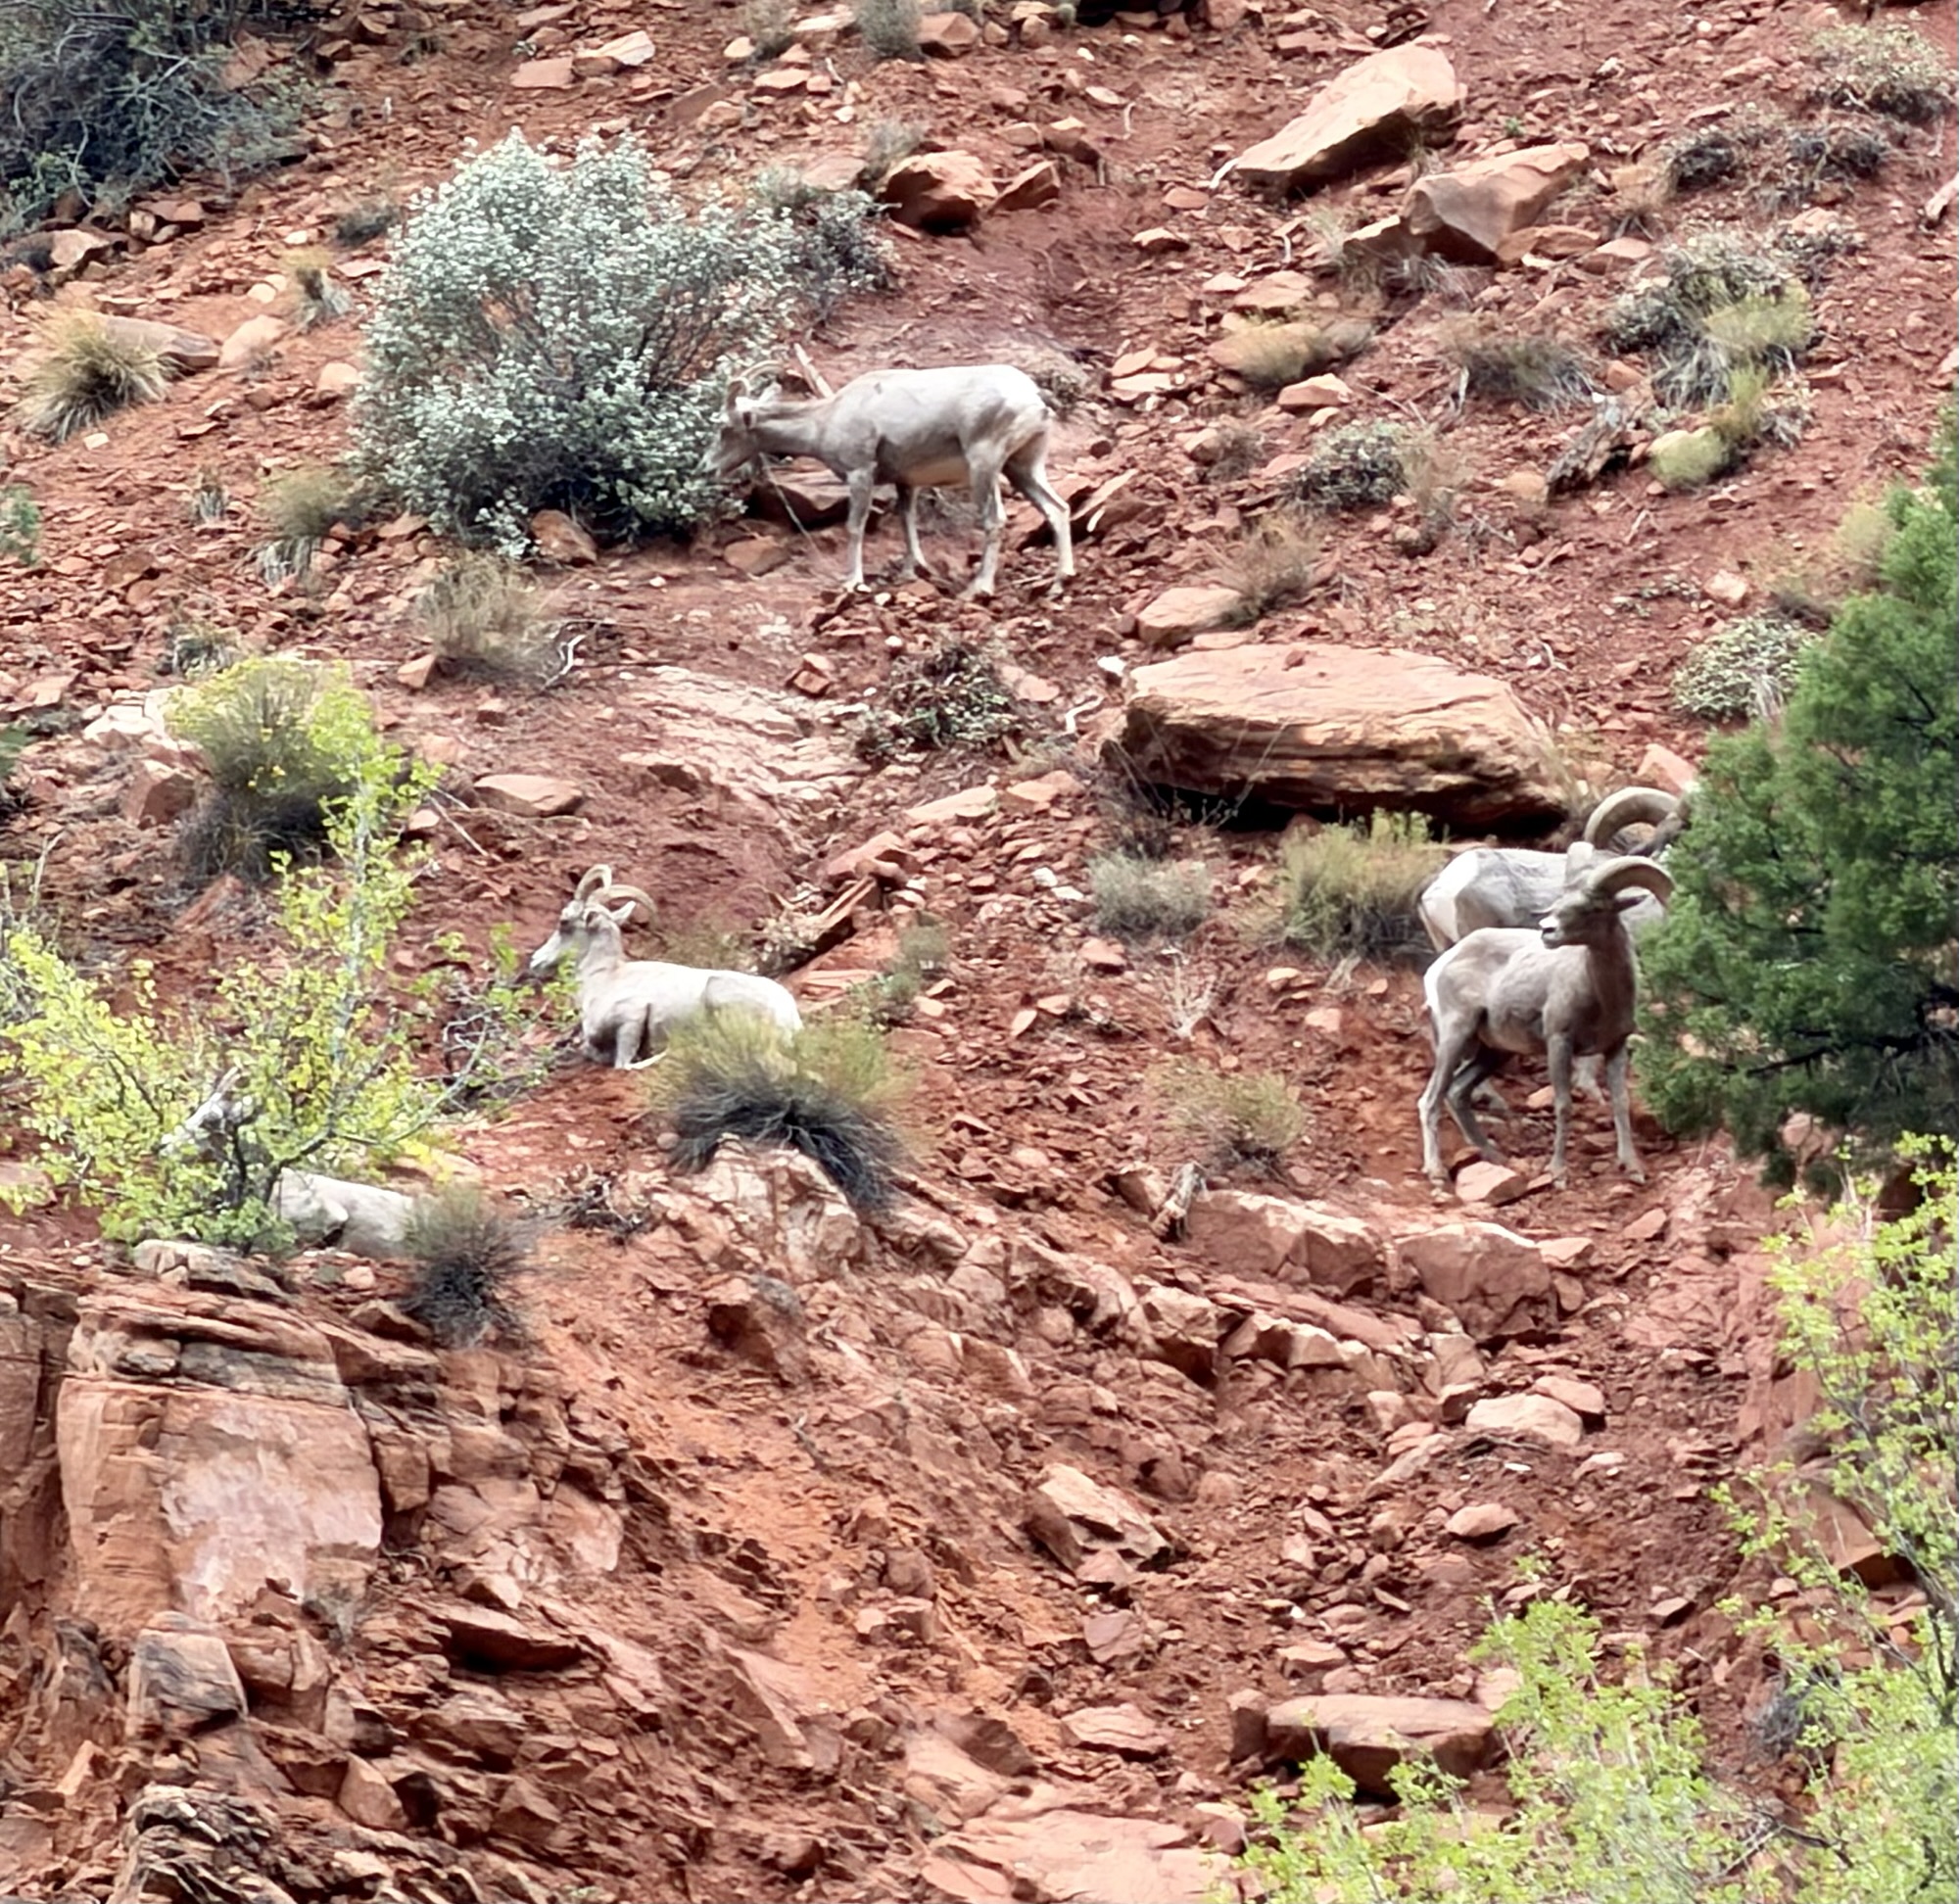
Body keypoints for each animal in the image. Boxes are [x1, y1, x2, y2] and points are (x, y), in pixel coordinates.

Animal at [526, 866, 801, 1068]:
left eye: (564, 922)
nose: (536, 961)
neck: (603, 979)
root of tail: (789, 1019)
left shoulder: (632, 1016)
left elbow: (622, 1064)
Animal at [708, 364, 1075, 599]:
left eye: (725, 427)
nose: (708, 467)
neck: (825, 420)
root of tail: (1033, 396)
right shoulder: (906, 483)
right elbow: (906, 522)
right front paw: (913, 572)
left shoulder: (860, 474)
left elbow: (854, 528)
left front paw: (853, 583)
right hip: (1022, 468)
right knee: (1058, 509)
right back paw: (1059, 583)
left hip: (985, 467)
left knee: (995, 520)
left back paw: (979, 588)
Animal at [1418, 855, 1675, 1190]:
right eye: (1561, 902)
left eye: (1594, 907)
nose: (1547, 930)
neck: (1600, 993)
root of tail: (1441, 964)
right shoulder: (1559, 1042)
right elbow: (1564, 1105)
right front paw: (1558, 1173)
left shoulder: (1615, 1048)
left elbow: (1620, 1102)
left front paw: (1633, 1168)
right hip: (1456, 1037)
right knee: (1431, 1099)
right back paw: (1436, 1172)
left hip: (1495, 1052)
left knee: (1458, 1092)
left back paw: (1493, 1156)